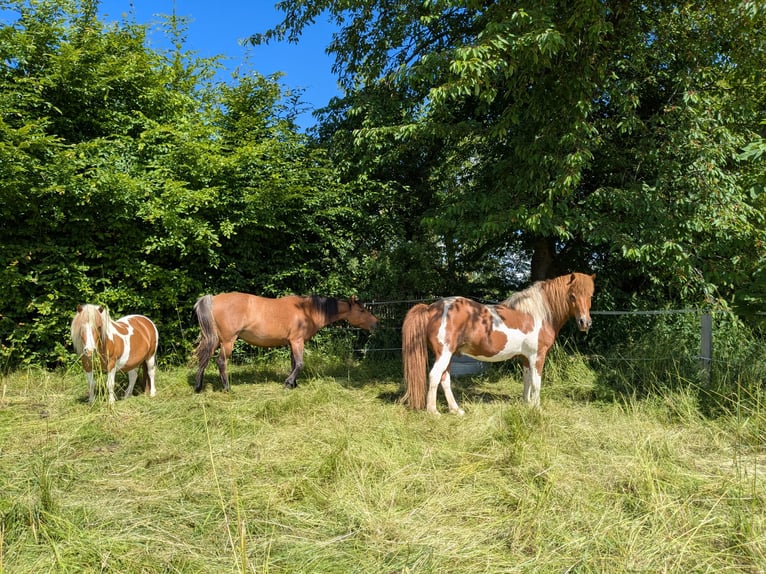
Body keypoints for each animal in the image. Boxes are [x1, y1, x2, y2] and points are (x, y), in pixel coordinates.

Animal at [192, 293, 379, 392]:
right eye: (362, 310)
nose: (376, 323)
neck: (307, 311)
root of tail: (214, 298)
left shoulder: (291, 343)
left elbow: (293, 363)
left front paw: (293, 384)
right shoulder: (297, 341)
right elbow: (300, 364)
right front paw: (288, 383)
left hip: (215, 340)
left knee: (204, 360)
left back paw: (198, 387)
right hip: (228, 341)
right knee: (221, 362)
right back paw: (227, 388)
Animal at [401, 272, 595, 414]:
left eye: (590, 295)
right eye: (572, 296)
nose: (584, 323)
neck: (537, 314)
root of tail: (431, 308)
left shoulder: (525, 358)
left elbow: (526, 380)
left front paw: (526, 404)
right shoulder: (537, 356)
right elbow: (536, 382)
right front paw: (537, 408)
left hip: (448, 355)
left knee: (445, 379)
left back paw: (456, 410)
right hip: (444, 354)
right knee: (434, 376)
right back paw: (433, 412)